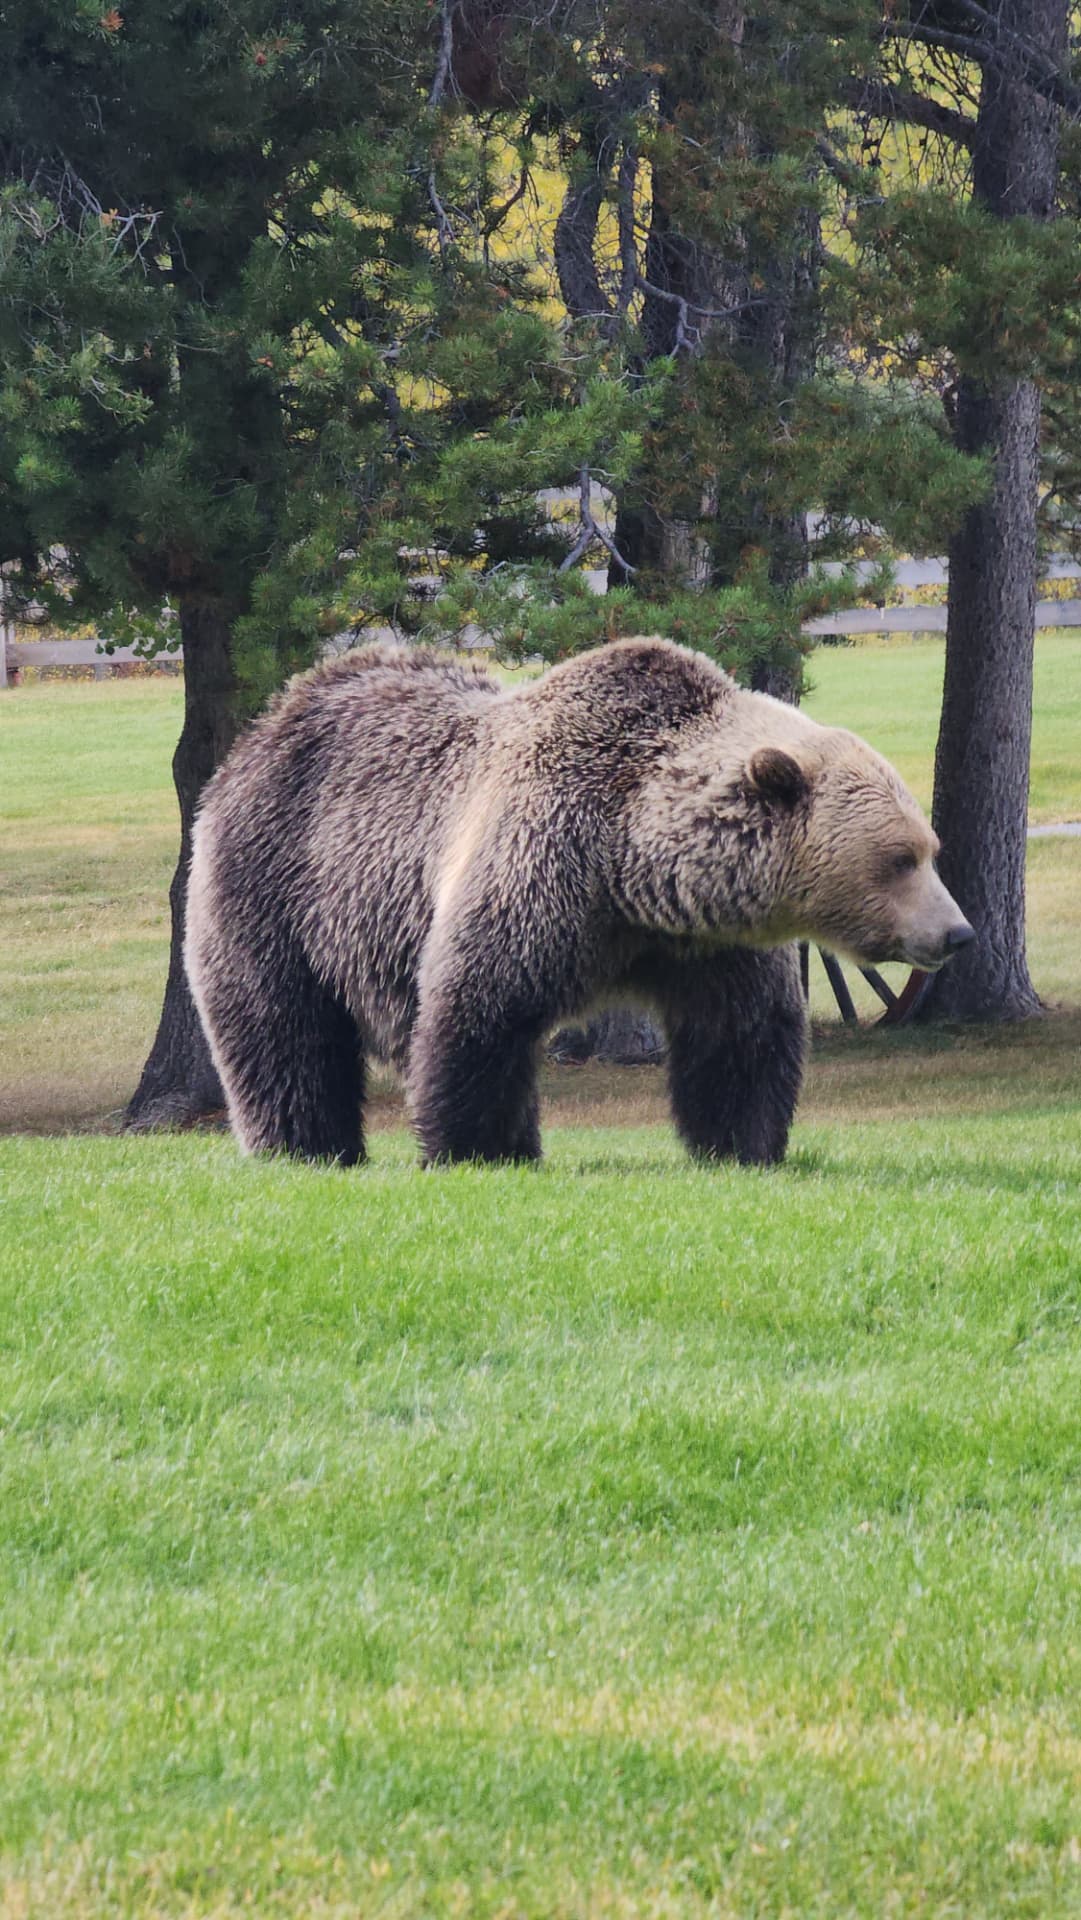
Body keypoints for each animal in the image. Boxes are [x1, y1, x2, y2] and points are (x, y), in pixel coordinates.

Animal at [184, 637, 973, 1169]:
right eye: (899, 859)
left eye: (928, 847)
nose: (956, 933)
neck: (634, 865)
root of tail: (266, 722)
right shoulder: (539, 864)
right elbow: (479, 1012)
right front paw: (476, 1148)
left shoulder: (708, 943)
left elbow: (740, 1034)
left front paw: (745, 1143)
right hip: (278, 880)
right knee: (282, 1027)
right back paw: (303, 1143)